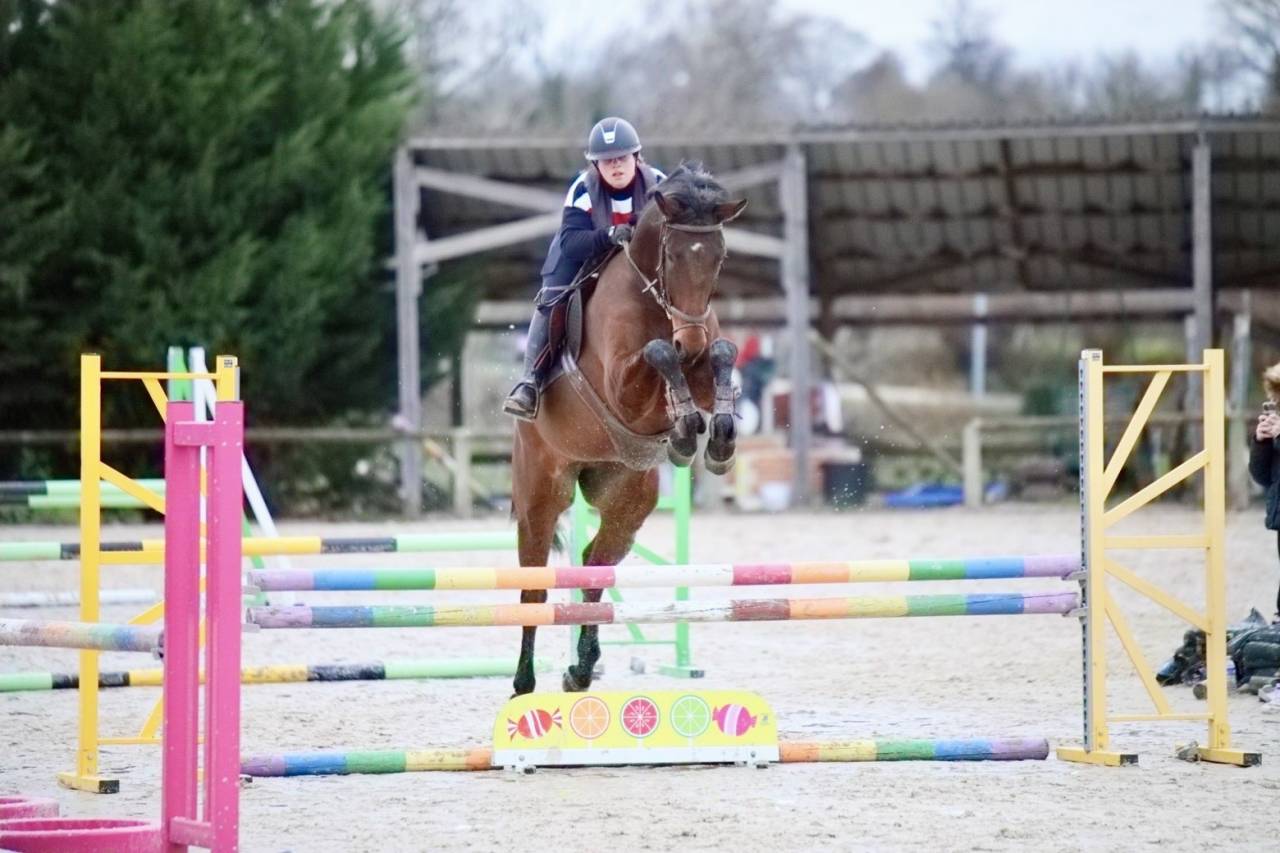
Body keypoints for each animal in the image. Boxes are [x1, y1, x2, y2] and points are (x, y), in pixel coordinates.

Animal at [510, 163, 747, 695]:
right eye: (673, 255)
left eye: (719, 257)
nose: (690, 340)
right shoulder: (624, 387)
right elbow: (659, 354)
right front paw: (686, 431)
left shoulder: (704, 361)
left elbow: (722, 354)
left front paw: (715, 441)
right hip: (541, 494)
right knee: (535, 586)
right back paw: (525, 681)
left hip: (627, 498)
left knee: (594, 565)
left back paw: (580, 670)